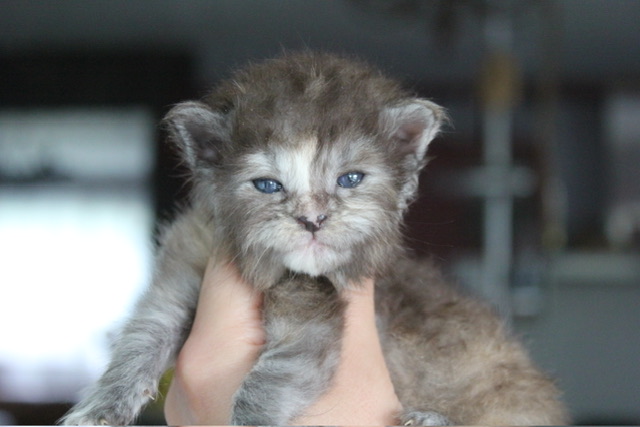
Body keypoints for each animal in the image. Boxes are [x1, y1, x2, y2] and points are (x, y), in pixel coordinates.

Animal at [60, 52, 568, 425]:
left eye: (350, 179)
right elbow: (145, 332)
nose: (312, 220)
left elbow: (263, 385)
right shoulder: (188, 261)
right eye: (268, 185)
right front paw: (102, 407)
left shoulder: (314, 319)